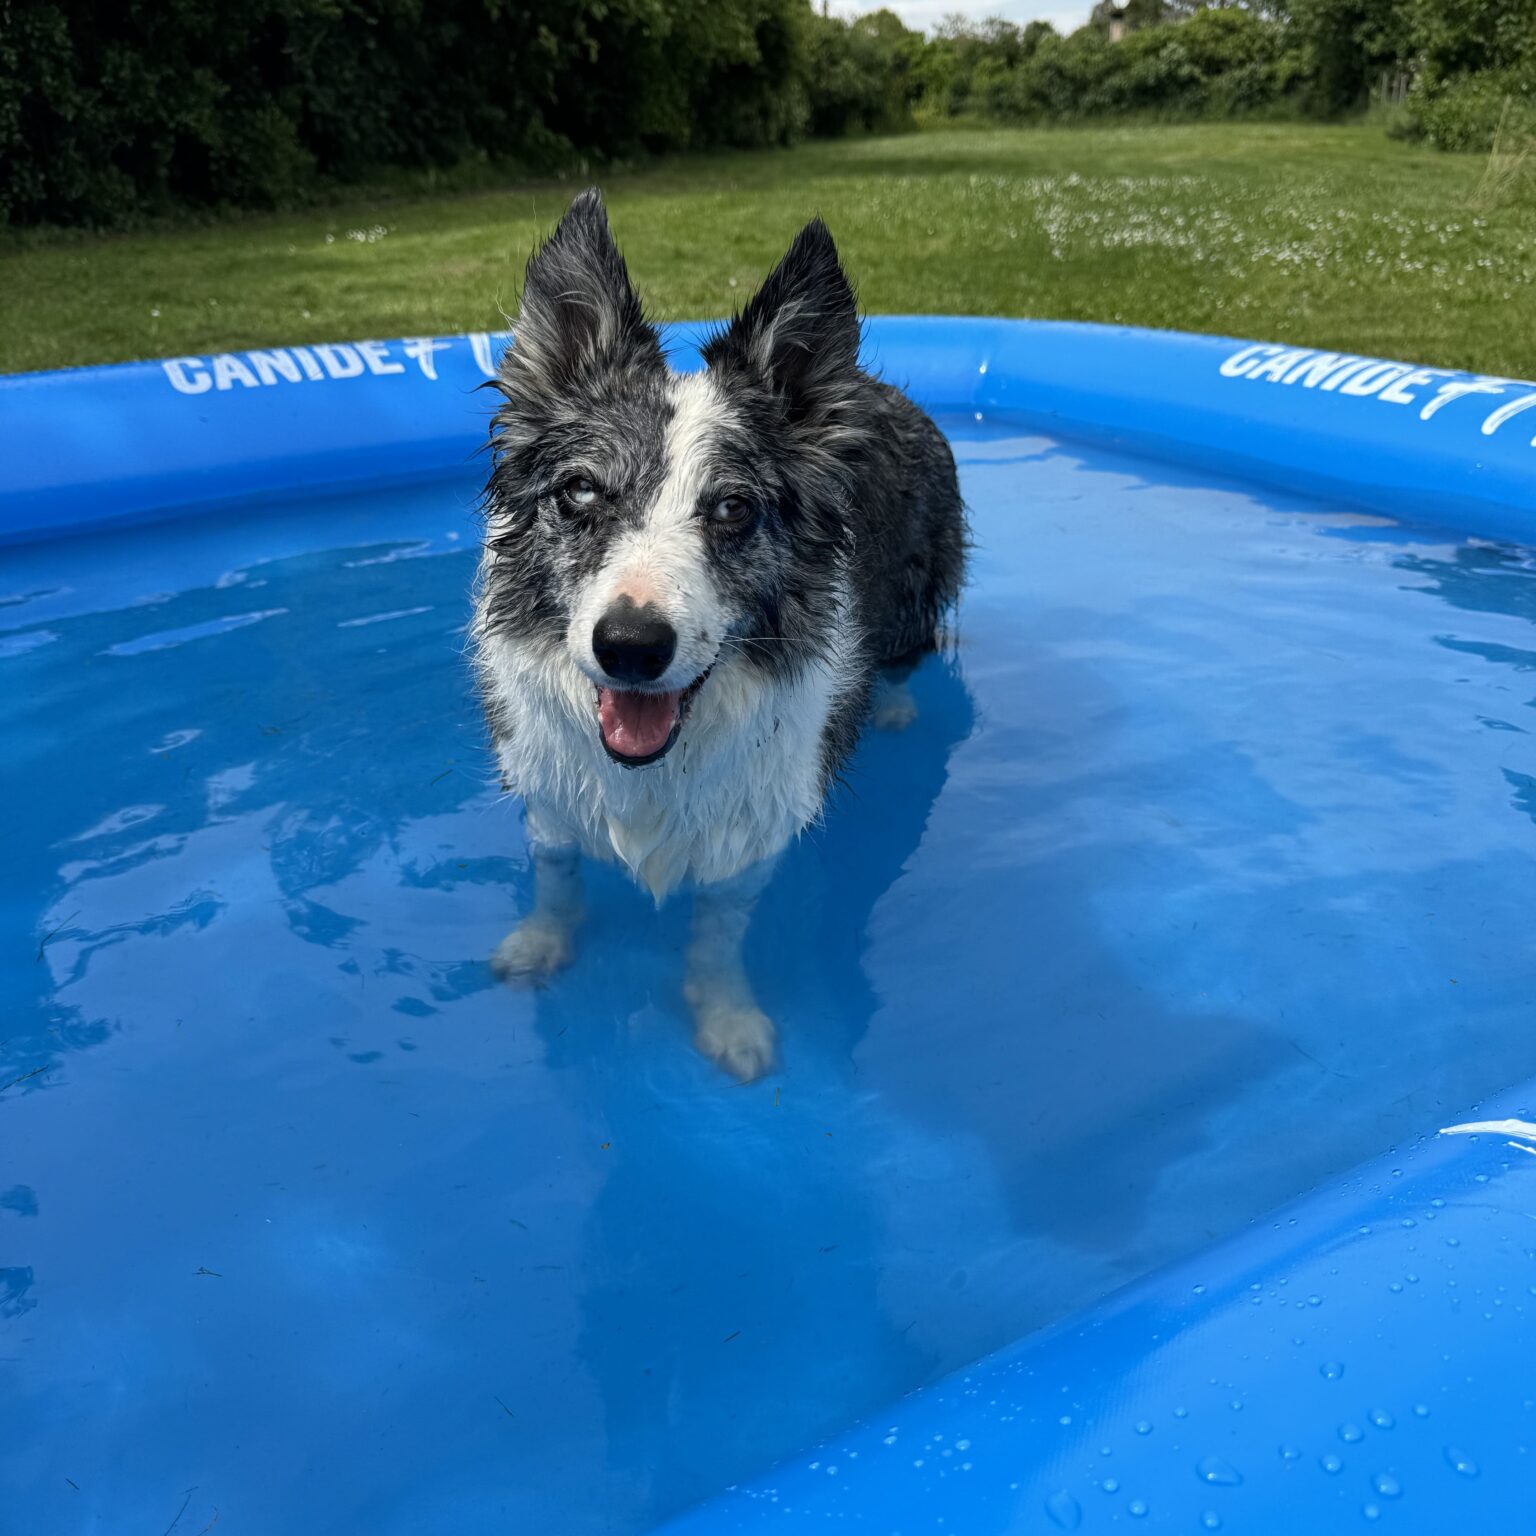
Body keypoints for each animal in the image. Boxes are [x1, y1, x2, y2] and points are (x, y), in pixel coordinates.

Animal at [473, 188, 964, 1081]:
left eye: (733, 508)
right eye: (579, 493)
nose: (631, 646)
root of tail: (878, 384)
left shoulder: (750, 835)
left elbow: (717, 937)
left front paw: (728, 1020)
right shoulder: (548, 793)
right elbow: (557, 879)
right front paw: (538, 945)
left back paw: (894, 707)